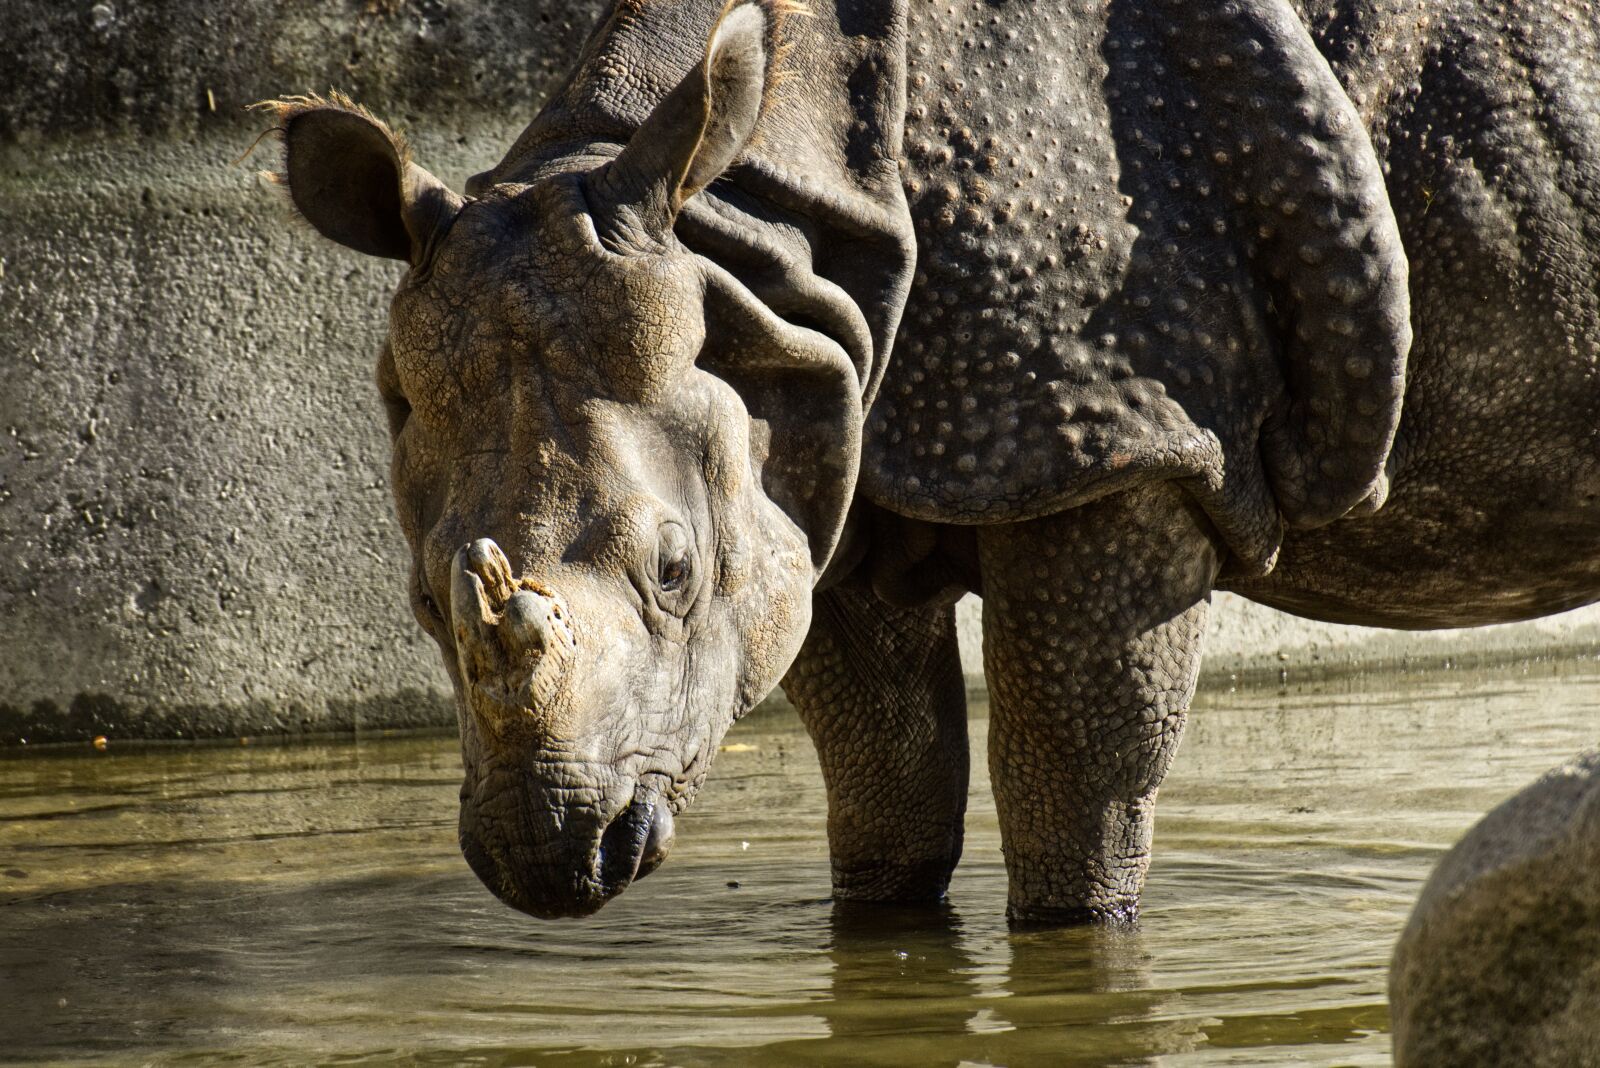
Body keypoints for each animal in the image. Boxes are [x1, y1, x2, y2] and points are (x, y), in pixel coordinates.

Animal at [261, 0, 1600, 923]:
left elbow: (1078, 776)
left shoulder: (1122, 436)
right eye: (423, 599)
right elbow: (884, 775)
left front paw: (1079, 921)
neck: (743, 240)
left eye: (675, 572)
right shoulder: (818, 429)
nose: (547, 855)